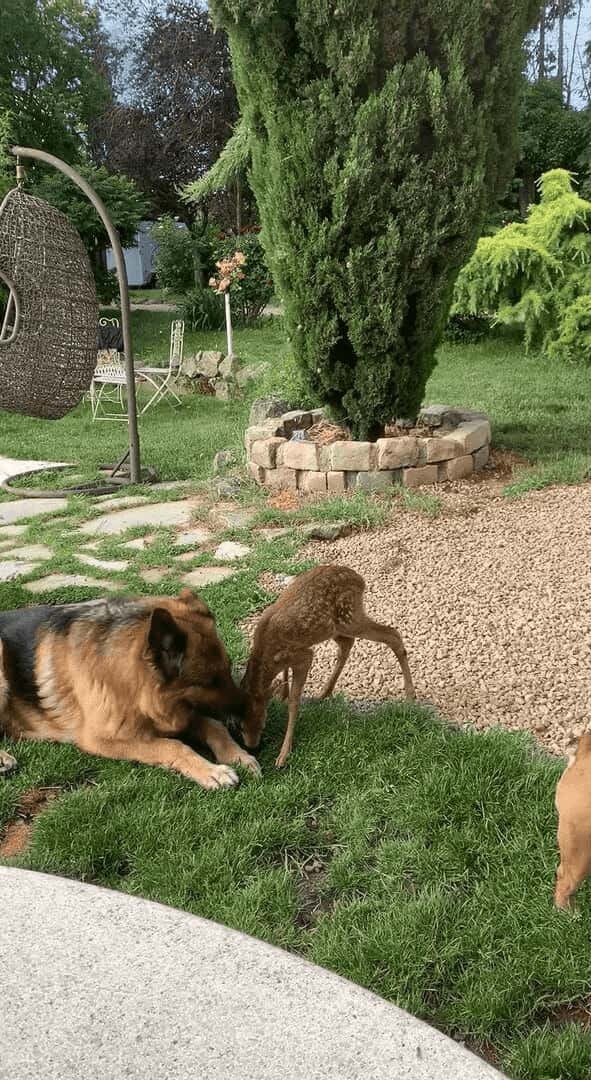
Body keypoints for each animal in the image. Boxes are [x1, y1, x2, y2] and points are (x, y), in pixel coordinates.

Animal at [0, 596, 260, 790]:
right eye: (209, 682)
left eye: (228, 669)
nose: (249, 711)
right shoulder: (102, 739)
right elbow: (173, 745)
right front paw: (211, 771)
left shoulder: (176, 714)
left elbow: (215, 726)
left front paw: (237, 755)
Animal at [240, 565, 417, 768]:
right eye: (240, 726)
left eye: (263, 722)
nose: (252, 747)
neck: (266, 656)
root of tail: (360, 580)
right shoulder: (290, 657)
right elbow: (285, 679)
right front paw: (281, 693)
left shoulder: (303, 656)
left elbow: (294, 701)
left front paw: (283, 755)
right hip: (333, 628)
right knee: (348, 644)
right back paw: (324, 692)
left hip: (350, 617)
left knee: (392, 634)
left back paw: (410, 695)